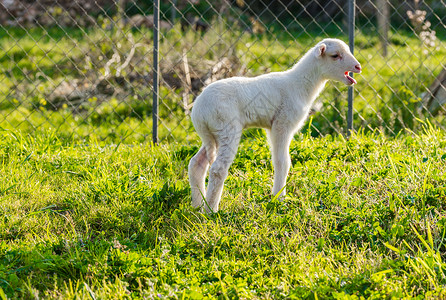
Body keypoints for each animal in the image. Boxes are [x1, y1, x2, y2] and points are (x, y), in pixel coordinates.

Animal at [188, 38, 362, 213]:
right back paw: (210, 210)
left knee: (197, 163)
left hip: (213, 134)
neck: (300, 84)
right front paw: (279, 198)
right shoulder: (282, 123)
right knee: (217, 169)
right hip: (227, 127)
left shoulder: (272, 126)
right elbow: (282, 162)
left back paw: (197, 204)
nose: (358, 67)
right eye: (335, 55)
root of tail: (199, 111)